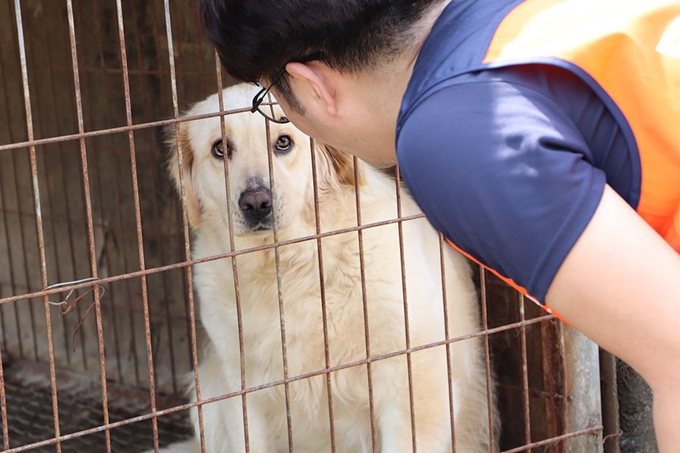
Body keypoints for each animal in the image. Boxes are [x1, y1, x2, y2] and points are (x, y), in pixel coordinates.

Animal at [153, 85, 494, 452]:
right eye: (220, 149)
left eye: (283, 143)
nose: (256, 203)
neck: (288, 266)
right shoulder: (243, 393)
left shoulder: (414, 384)